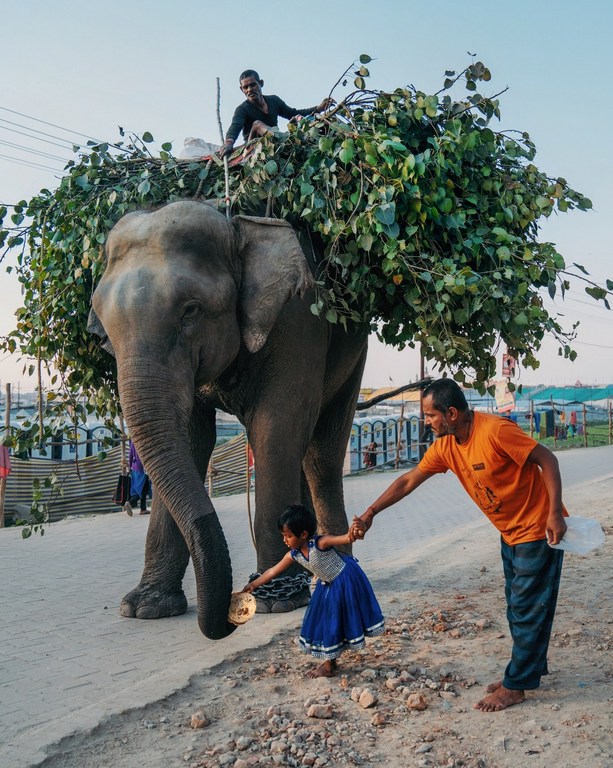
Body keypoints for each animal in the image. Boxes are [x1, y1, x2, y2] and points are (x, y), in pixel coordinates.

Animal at [89, 200, 368, 640]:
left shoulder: (298, 320)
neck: (235, 227)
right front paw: (144, 608)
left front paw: (277, 601)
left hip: (355, 351)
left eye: (191, 310)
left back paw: (333, 564)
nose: (229, 615)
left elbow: (276, 428)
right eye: (103, 333)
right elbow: (190, 437)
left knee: (321, 453)